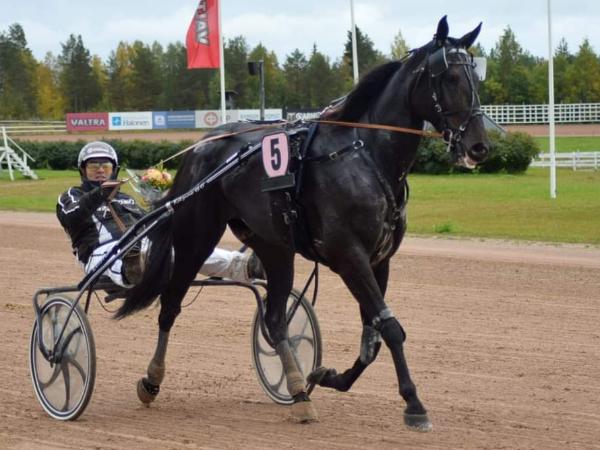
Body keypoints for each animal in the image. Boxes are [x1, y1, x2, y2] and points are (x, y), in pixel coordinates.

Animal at [117, 16, 489, 432]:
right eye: (450, 77)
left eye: (476, 76)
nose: (479, 146)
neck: (365, 157)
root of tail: (204, 144)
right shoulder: (348, 256)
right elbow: (390, 328)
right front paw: (414, 404)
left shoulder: (379, 259)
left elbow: (373, 335)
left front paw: (327, 376)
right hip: (196, 237)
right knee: (170, 305)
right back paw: (151, 380)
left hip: (274, 247)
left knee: (275, 319)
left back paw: (298, 392)